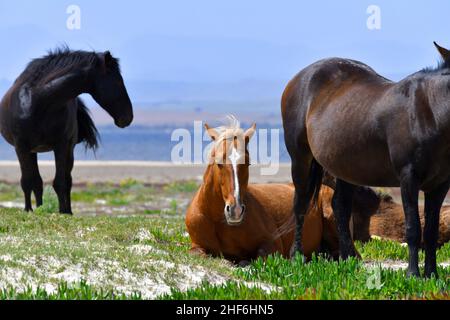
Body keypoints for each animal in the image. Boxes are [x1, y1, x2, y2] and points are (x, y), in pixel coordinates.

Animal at [0, 48, 133, 215]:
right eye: (118, 81)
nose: (128, 117)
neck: (39, 102)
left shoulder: (62, 145)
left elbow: (60, 182)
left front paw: (64, 212)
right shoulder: (21, 147)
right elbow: (28, 181)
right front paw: (29, 210)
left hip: (68, 150)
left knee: (66, 180)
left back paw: (64, 209)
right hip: (31, 151)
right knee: (36, 182)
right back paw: (39, 207)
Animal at [284, 42, 450, 278]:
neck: (430, 112)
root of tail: (300, 77)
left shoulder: (440, 184)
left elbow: (431, 231)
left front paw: (432, 275)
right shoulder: (408, 178)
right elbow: (413, 228)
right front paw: (413, 275)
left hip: (345, 168)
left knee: (340, 207)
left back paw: (348, 259)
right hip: (301, 159)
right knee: (301, 205)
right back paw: (296, 257)